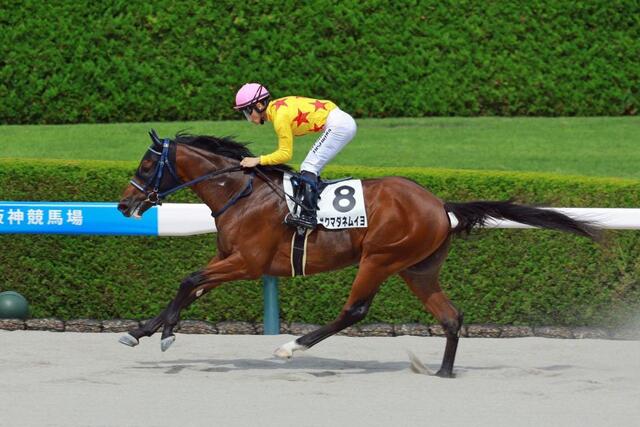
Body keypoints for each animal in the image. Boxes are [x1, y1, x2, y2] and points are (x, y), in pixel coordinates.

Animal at [117, 131, 600, 378]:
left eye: (146, 165)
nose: (124, 205)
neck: (242, 193)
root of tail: (440, 205)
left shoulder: (248, 263)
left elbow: (189, 280)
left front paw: (164, 334)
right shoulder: (230, 260)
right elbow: (190, 286)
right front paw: (142, 331)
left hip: (380, 258)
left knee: (355, 310)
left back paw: (291, 347)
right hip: (418, 269)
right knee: (451, 316)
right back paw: (443, 372)